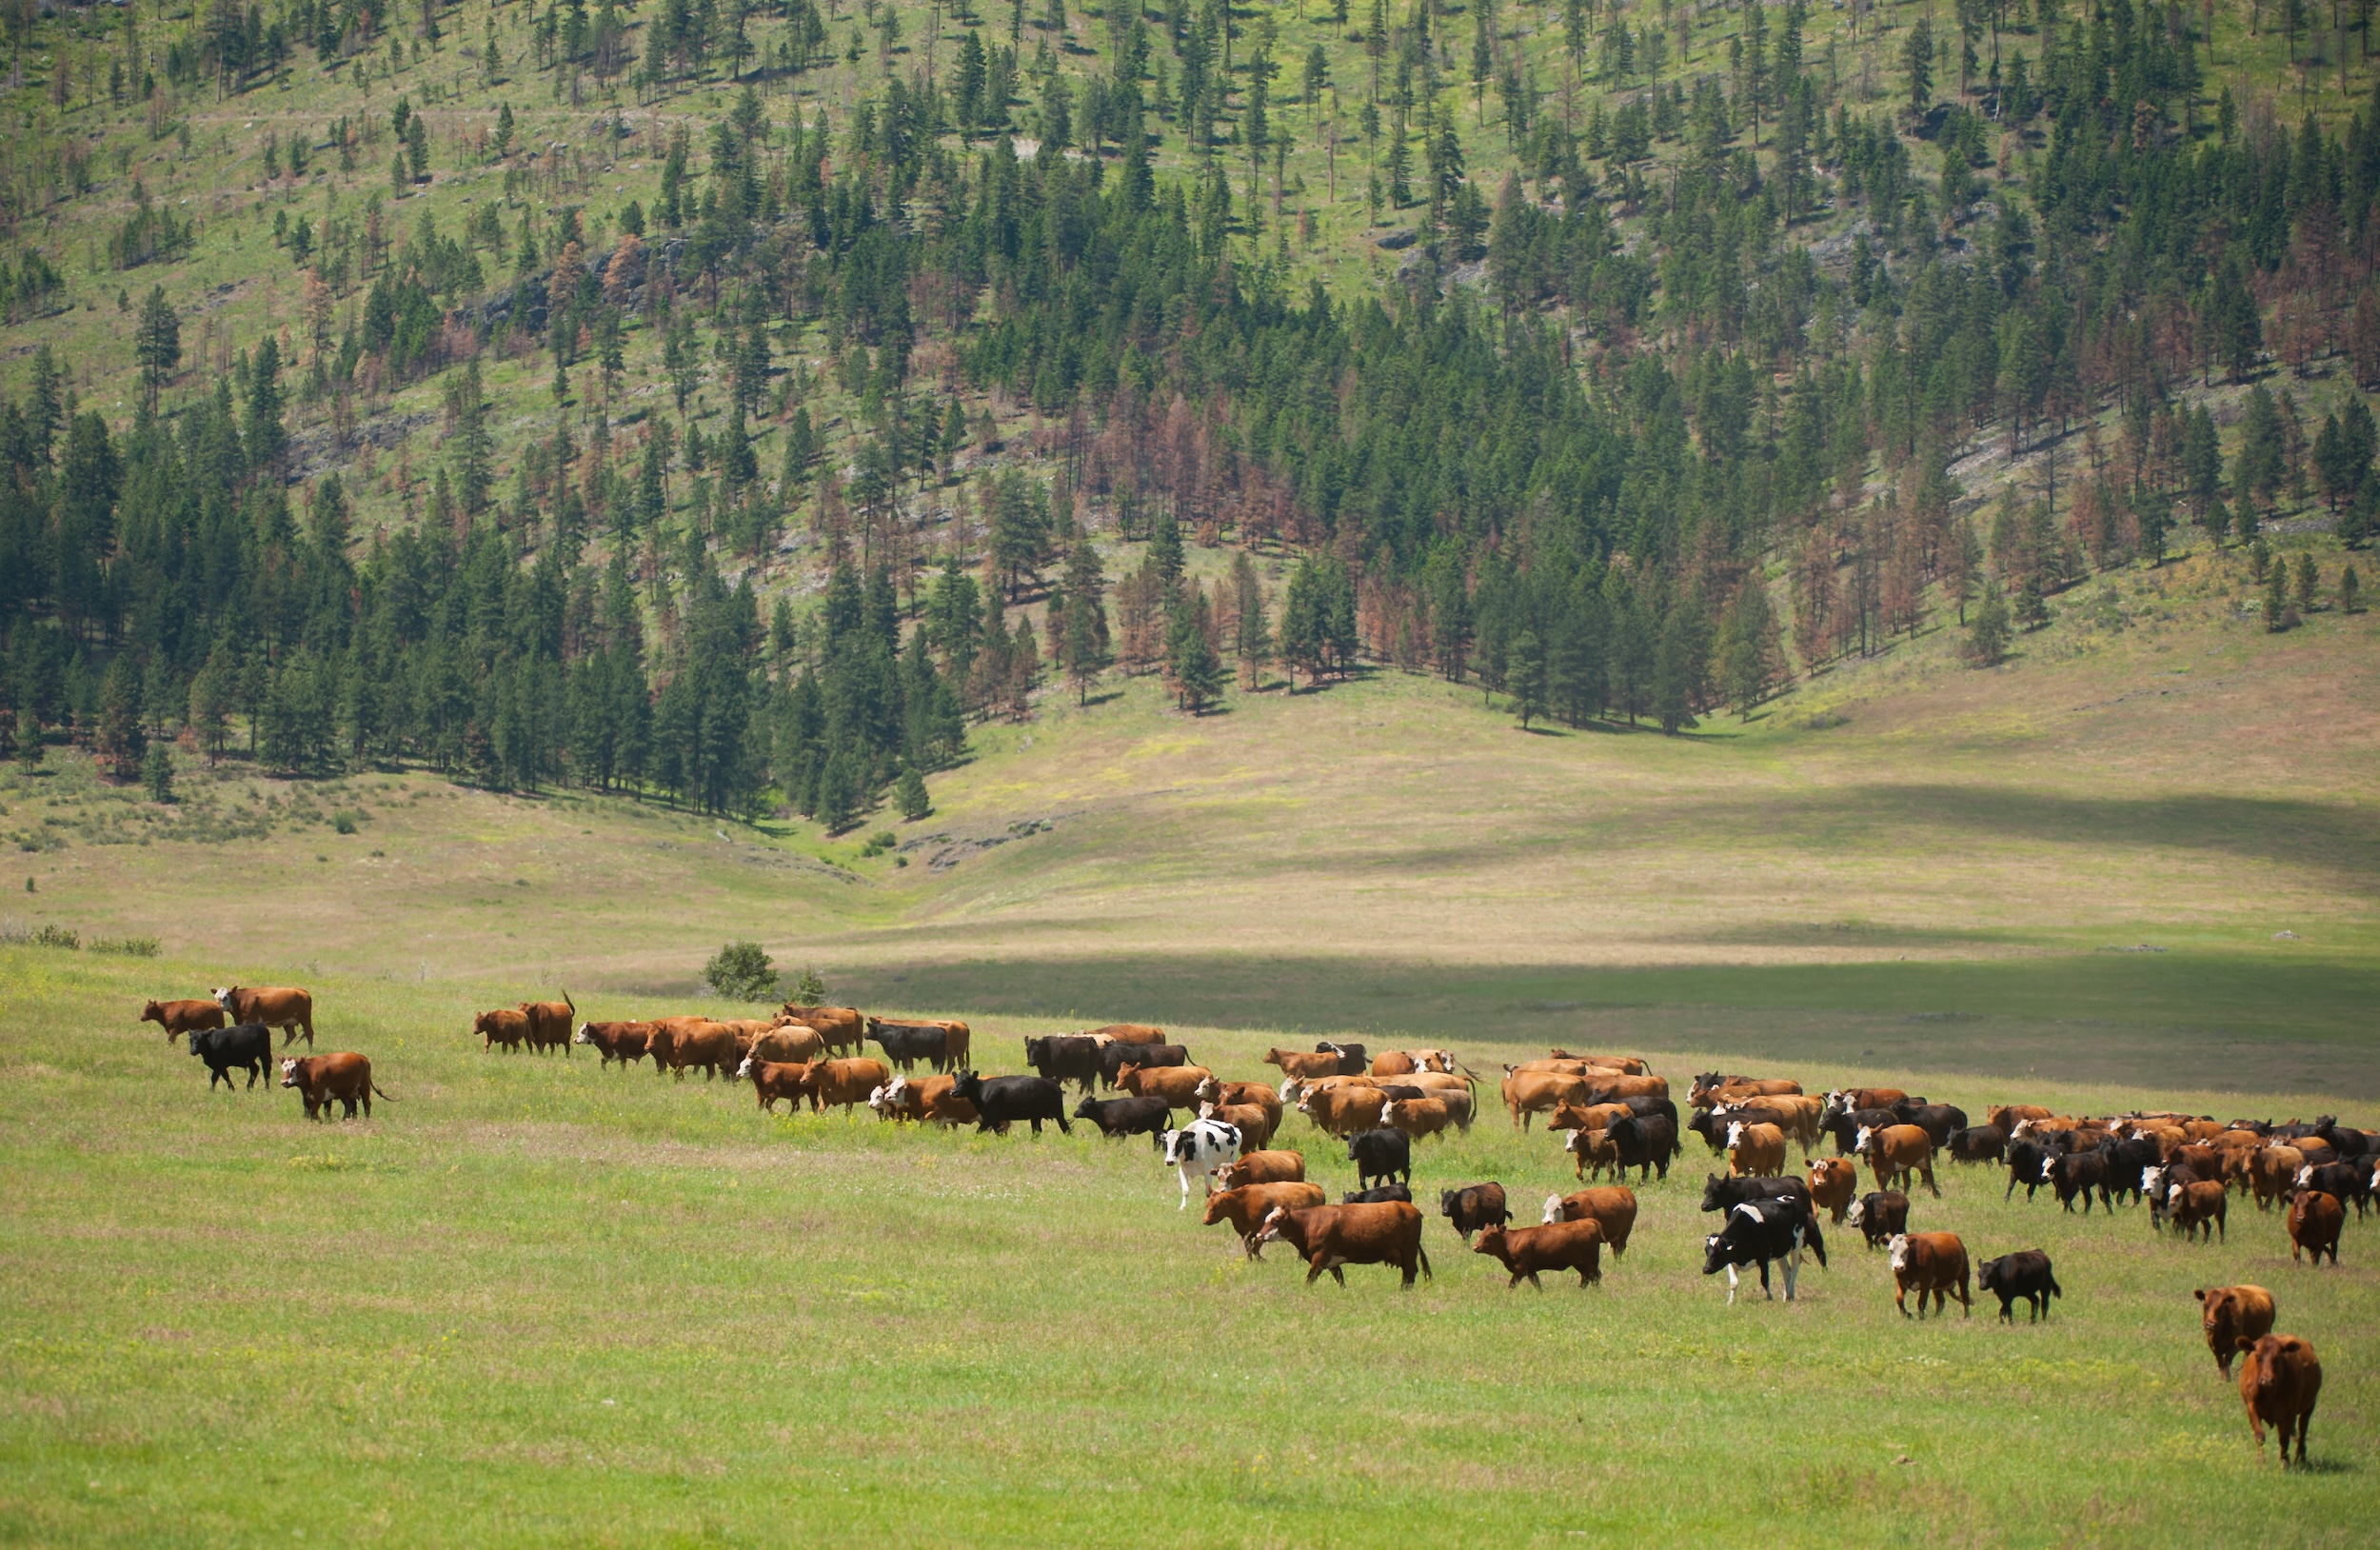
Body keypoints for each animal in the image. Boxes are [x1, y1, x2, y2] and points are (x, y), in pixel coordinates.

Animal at [1202, 1182, 1327, 1258]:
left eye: (1216, 1206)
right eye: (1207, 1205)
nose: (1205, 1221)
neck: (1243, 1204)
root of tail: (1315, 1188)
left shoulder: (1260, 1233)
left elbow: (1255, 1250)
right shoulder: (1245, 1234)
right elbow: (1249, 1251)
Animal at [1254, 1202, 1433, 1288]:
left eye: (1276, 1220)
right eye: (1265, 1219)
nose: (1259, 1235)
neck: (1308, 1223)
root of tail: (1410, 1208)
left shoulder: (1320, 1256)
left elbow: (1310, 1278)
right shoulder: (1331, 1262)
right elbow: (1340, 1279)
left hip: (1408, 1251)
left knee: (1410, 1273)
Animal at [1474, 1219, 1604, 1290]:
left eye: (1490, 1235)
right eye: (1480, 1235)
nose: (1476, 1247)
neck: (1510, 1242)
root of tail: (1588, 1221)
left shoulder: (1520, 1269)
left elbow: (1512, 1285)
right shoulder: (1531, 1271)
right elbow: (1537, 1284)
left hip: (1590, 1262)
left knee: (1595, 1277)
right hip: (1579, 1263)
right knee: (1586, 1277)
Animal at [1701, 1197, 1825, 1303]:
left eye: (1719, 1251)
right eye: (1706, 1251)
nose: (1706, 1269)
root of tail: (1793, 1199)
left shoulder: (1763, 1258)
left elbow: (1764, 1281)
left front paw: (1770, 1298)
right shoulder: (1731, 1260)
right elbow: (1733, 1283)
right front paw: (1730, 1303)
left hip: (1796, 1245)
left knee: (1794, 1269)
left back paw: (1790, 1292)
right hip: (1781, 1252)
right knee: (1786, 1272)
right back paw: (1787, 1297)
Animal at [2235, 1334, 2323, 1467]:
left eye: (2278, 1357)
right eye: (2258, 1356)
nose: (2267, 1380)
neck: (2270, 1393)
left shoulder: (2289, 1411)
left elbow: (2284, 1437)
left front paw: (2285, 1462)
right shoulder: (2252, 1407)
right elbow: (2260, 1434)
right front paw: (2260, 1462)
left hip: (2310, 1405)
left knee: (2302, 1429)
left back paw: (2301, 1457)